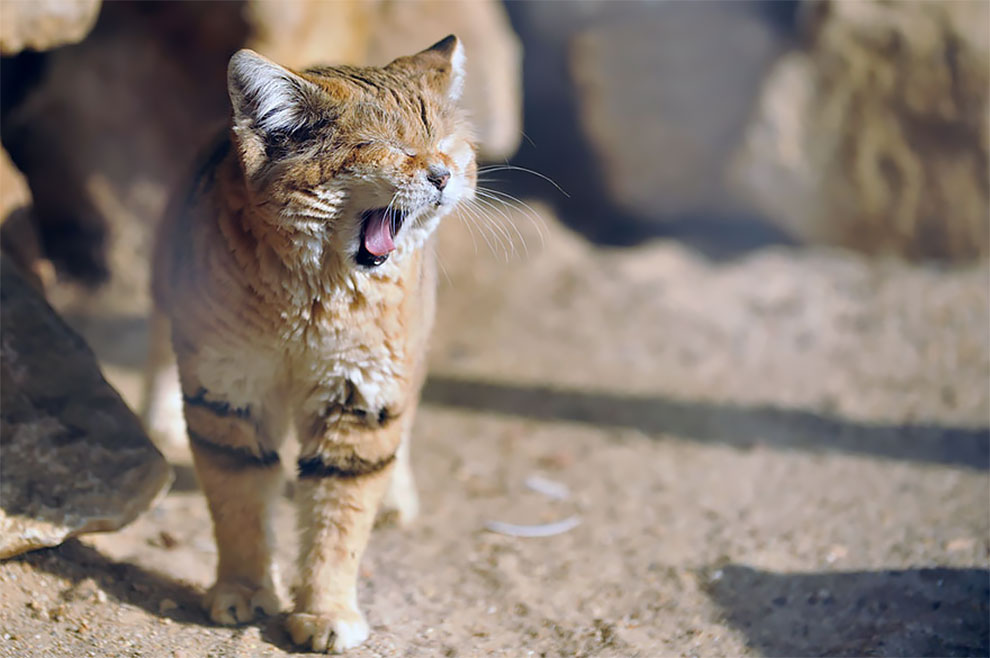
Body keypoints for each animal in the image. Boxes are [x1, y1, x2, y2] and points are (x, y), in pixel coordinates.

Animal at [143, 37, 476, 652]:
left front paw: (325, 612)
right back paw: (158, 421)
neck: (312, 302)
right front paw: (245, 590)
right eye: (390, 148)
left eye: (445, 145)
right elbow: (239, 504)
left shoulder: (361, 398)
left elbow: (338, 519)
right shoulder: (229, 393)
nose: (442, 176)